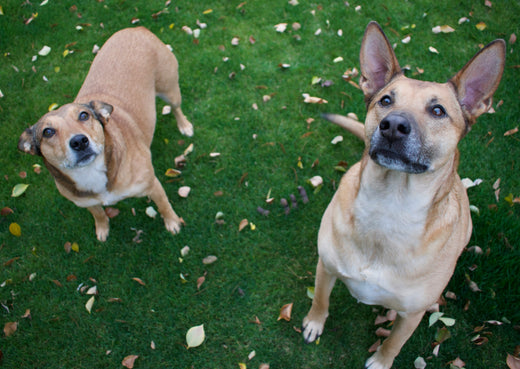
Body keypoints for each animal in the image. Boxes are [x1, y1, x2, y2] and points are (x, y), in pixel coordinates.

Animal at [18, 28, 194, 242]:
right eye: (48, 132)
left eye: (83, 115)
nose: (79, 141)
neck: (91, 172)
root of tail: (137, 29)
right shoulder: (86, 203)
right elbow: (99, 214)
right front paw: (102, 229)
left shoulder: (153, 185)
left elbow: (164, 206)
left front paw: (173, 222)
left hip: (169, 90)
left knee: (176, 108)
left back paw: (184, 125)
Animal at [300, 21, 504, 366]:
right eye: (385, 100)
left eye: (438, 110)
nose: (393, 125)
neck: (388, 207)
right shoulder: (325, 268)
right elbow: (320, 300)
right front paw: (314, 322)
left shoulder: (412, 314)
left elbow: (394, 341)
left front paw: (381, 361)